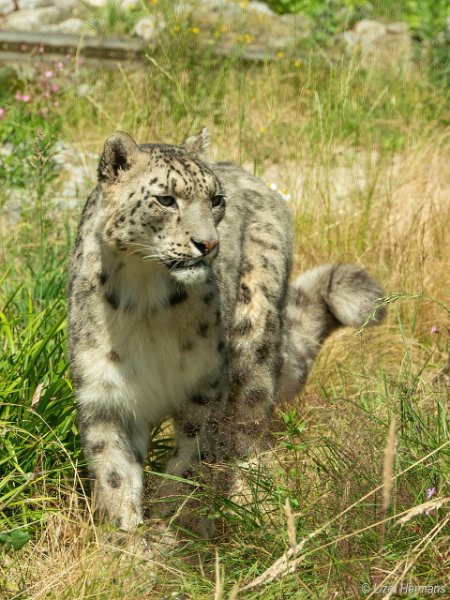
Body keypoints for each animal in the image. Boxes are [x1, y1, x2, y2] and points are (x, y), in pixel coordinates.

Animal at [68, 130, 384, 528]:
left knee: (249, 429)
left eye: (216, 200)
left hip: (253, 334)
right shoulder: (105, 392)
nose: (208, 244)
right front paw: (127, 533)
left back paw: (255, 505)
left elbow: (193, 457)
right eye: (165, 199)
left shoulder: (205, 386)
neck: (146, 302)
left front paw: (174, 521)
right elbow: (113, 472)